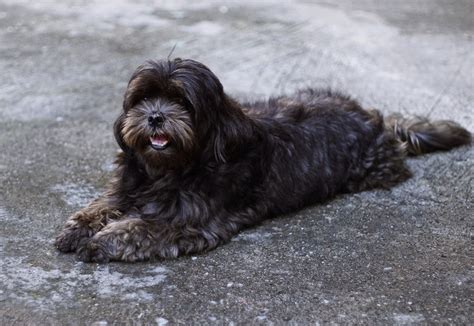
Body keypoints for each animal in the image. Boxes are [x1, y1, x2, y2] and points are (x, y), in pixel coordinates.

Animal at [54, 58, 470, 262]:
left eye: (182, 102)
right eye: (143, 98)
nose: (155, 116)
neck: (169, 170)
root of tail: (373, 117)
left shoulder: (191, 221)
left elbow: (140, 228)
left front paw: (103, 240)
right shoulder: (126, 188)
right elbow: (103, 204)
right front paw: (79, 228)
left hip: (373, 168)